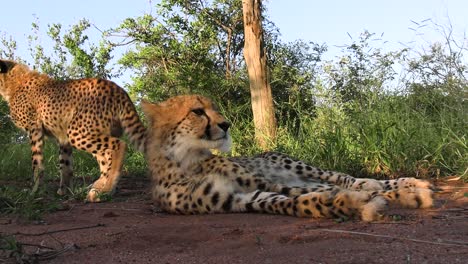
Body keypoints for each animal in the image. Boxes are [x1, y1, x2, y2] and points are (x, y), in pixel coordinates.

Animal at [0, 58, 146, 201]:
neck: (11, 81)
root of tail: (118, 89)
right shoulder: (63, 137)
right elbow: (65, 165)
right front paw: (64, 191)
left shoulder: (34, 128)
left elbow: (37, 163)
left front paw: (34, 192)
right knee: (106, 159)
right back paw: (101, 190)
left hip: (78, 133)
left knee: (119, 146)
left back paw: (106, 188)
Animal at [141, 95, 434, 221]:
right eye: (198, 111)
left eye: (214, 108)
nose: (226, 125)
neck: (187, 160)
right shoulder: (234, 198)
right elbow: (287, 202)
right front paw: (348, 203)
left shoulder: (262, 181)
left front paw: (395, 194)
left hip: (297, 165)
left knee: (345, 177)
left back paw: (409, 185)